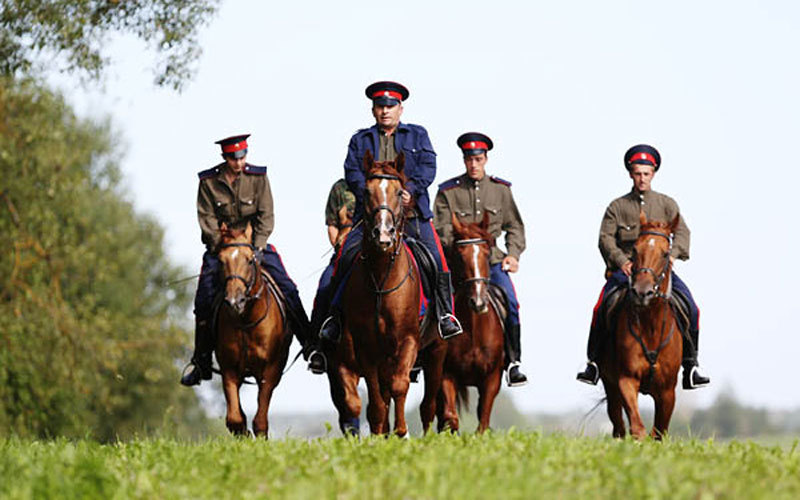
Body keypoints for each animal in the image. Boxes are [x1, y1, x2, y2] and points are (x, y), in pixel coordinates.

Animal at [214, 223, 292, 438]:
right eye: (221, 261)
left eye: (249, 260)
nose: (235, 301)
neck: (246, 321)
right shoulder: (229, 368)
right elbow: (235, 418)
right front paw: (244, 433)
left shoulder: (270, 370)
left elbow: (260, 419)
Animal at [328, 150, 446, 436]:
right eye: (367, 191)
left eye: (399, 192)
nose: (383, 234)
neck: (382, 278)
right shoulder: (367, 349)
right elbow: (376, 402)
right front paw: (382, 434)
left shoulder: (408, 341)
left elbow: (399, 386)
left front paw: (402, 432)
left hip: (436, 351)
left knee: (428, 404)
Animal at [438, 215, 506, 434]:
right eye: (460, 255)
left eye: (486, 252)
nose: (478, 302)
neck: (474, 331)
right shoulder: (447, 374)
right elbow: (451, 417)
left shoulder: (492, 379)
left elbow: (483, 422)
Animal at [600, 213, 680, 440]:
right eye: (635, 250)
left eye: (665, 253)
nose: (642, 292)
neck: (650, 325)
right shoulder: (626, 380)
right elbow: (637, 427)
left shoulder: (667, 392)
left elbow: (659, 431)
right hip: (609, 385)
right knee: (618, 425)